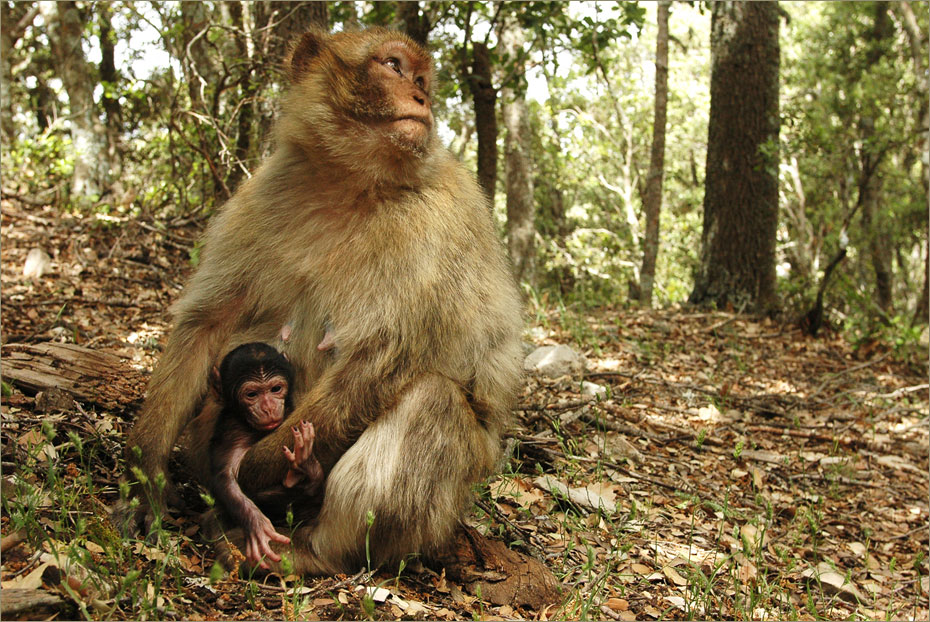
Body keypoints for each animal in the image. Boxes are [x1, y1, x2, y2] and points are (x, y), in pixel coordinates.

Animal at [208, 344, 324, 572]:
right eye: (252, 394)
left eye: (275, 389)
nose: (269, 407)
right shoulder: (231, 429)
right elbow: (227, 477)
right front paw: (255, 522)